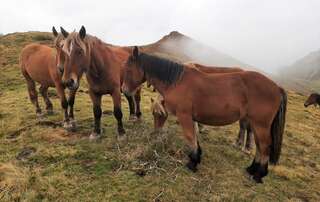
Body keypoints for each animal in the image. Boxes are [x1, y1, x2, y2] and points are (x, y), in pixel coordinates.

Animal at [122, 47, 288, 183]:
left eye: (128, 69)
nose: (124, 91)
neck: (177, 81)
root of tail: (277, 87)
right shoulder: (192, 118)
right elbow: (195, 136)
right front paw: (197, 156)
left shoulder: (185, 116)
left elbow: (190, 137)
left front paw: (192, 162)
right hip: (257, 124)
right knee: (259, 147)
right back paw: (251, 169)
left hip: (260, 125)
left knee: (264, 147)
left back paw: (258, 174)